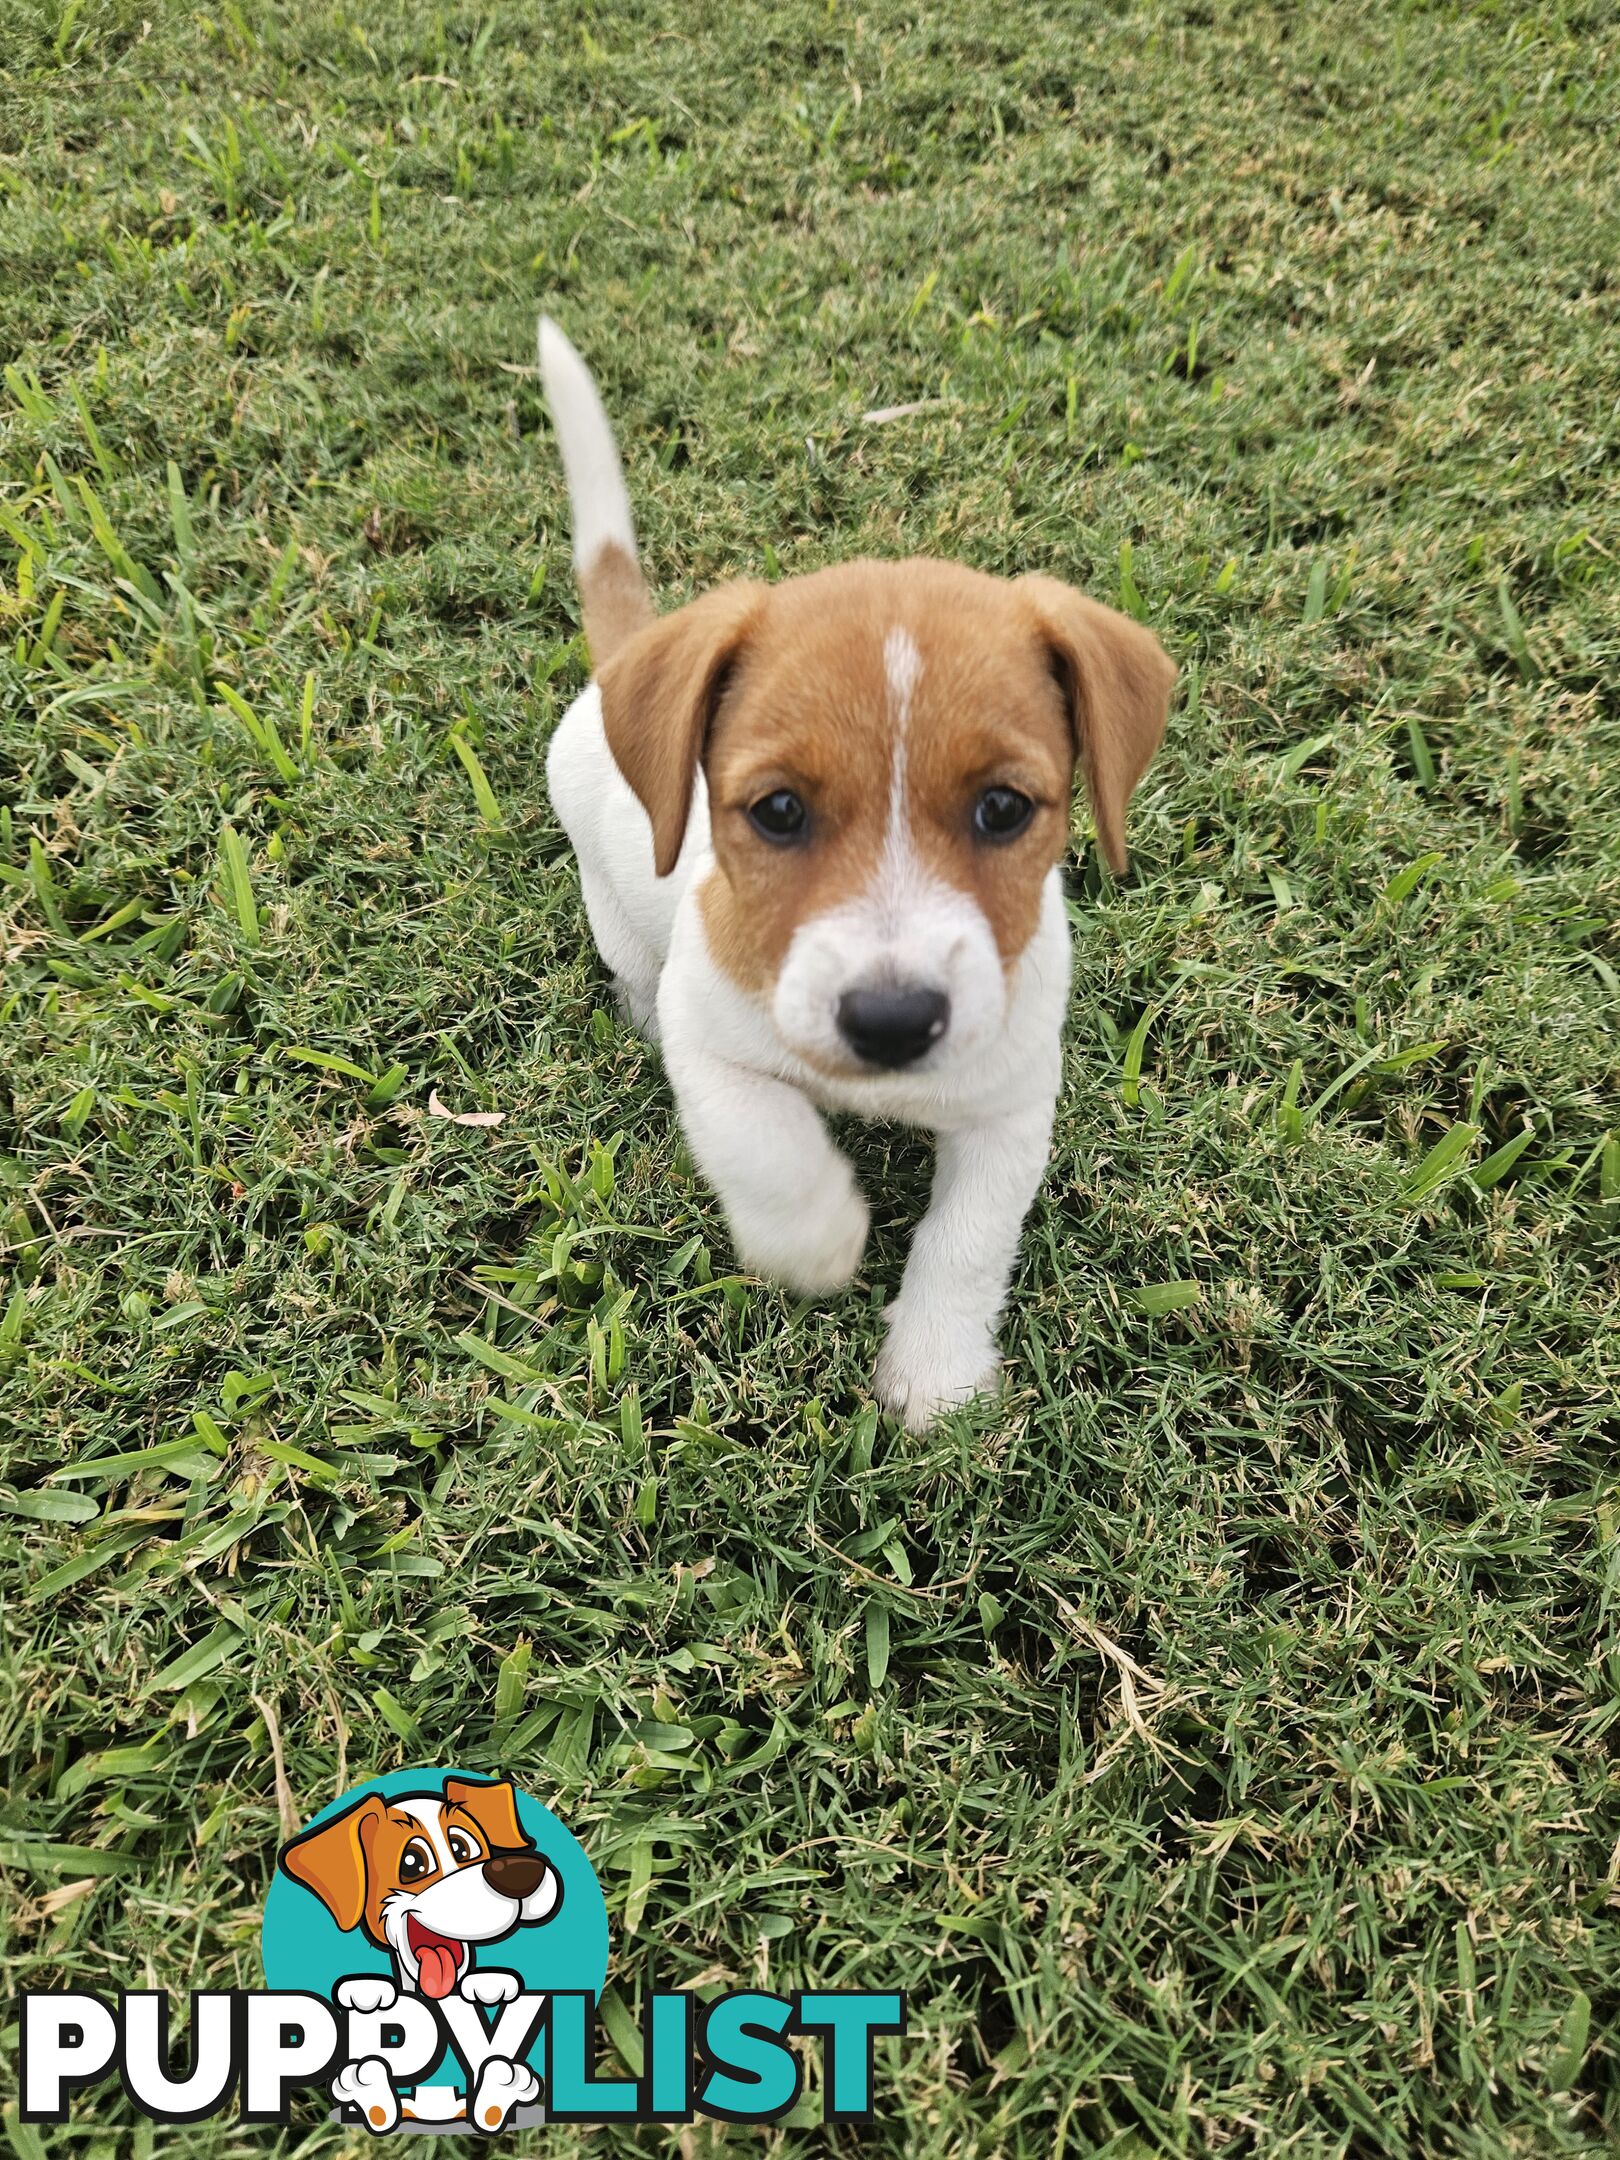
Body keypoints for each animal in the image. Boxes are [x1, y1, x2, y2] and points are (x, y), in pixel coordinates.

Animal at [540, 319, 1175, 1425]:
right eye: (778, 812)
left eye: (1003, 808)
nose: (890, 1022)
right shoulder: (714, 1047)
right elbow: (766, 1143)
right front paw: (820, 1241)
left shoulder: (1011, 1107)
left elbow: (967, 1243)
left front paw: (936, 1371)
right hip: (614, 912)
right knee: (632, 968)